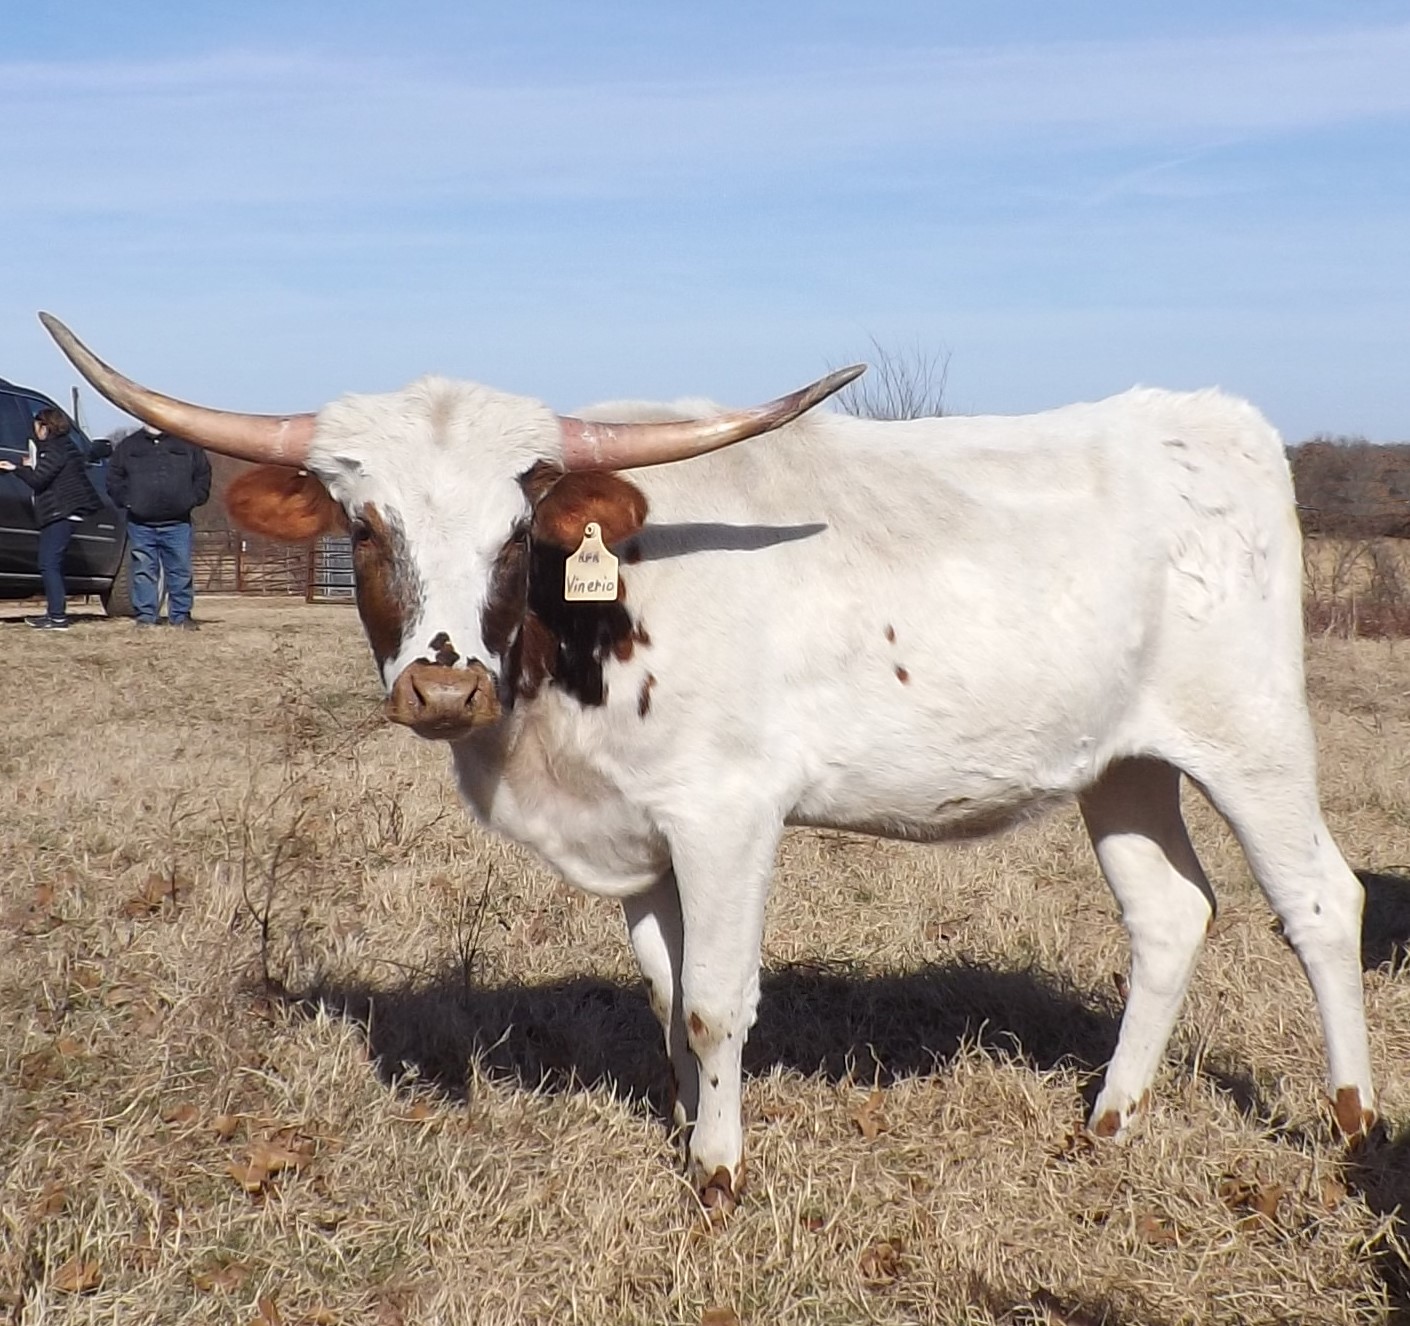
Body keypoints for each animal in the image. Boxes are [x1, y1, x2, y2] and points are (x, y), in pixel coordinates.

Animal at [41, 312, 1375, 1212]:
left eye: (517, 531)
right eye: (366, 529)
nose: (443, 685)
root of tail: (1208, 418)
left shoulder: (730, 817)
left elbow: (716, 1000)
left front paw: (723, 1173)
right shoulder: (642, 840)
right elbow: (663, 997)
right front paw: (689, 1133)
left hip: (1253, 737)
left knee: (1321, 903)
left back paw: (1353, 1121)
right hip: (1122, 762)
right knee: (1171, 914)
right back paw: (1108, 1121)